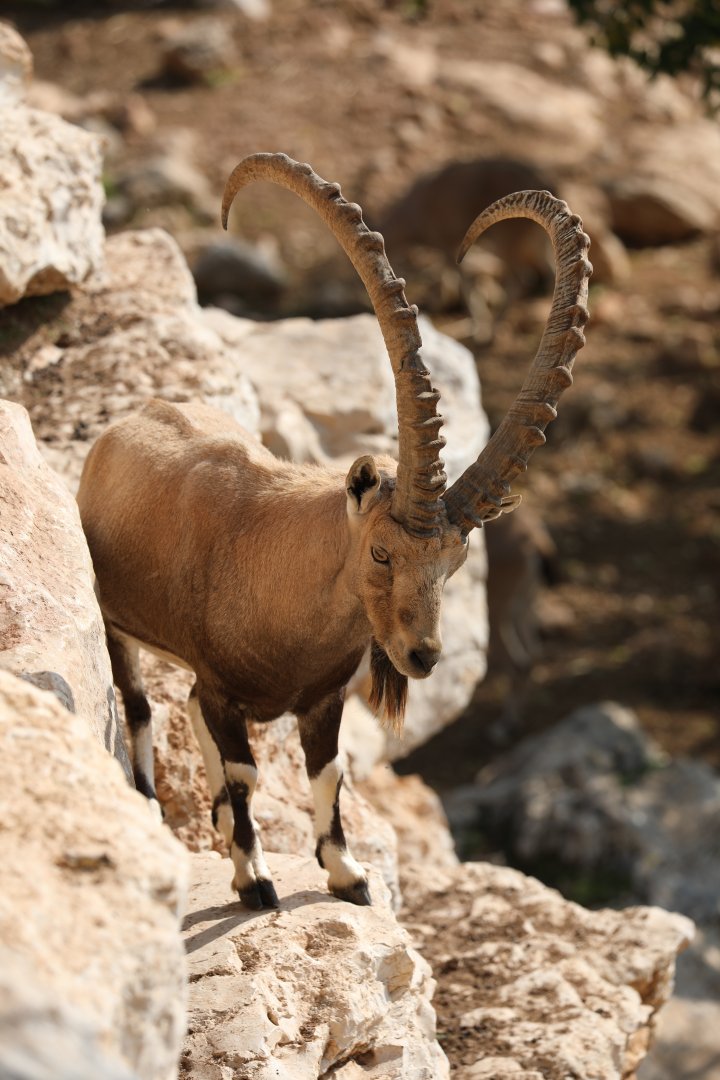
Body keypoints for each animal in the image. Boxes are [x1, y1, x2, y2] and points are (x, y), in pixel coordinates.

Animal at [77, 153, 591, 910]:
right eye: (380, 551)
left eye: (458, 562)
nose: (423, 656)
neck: (283, 579)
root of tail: (127, 421)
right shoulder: (224, 690)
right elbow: (245, 771)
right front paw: (255, 880)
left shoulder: (320, 700)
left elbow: (326, 773)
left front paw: (347, 874)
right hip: (119, 627)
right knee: (140, 707)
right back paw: (153, 802)